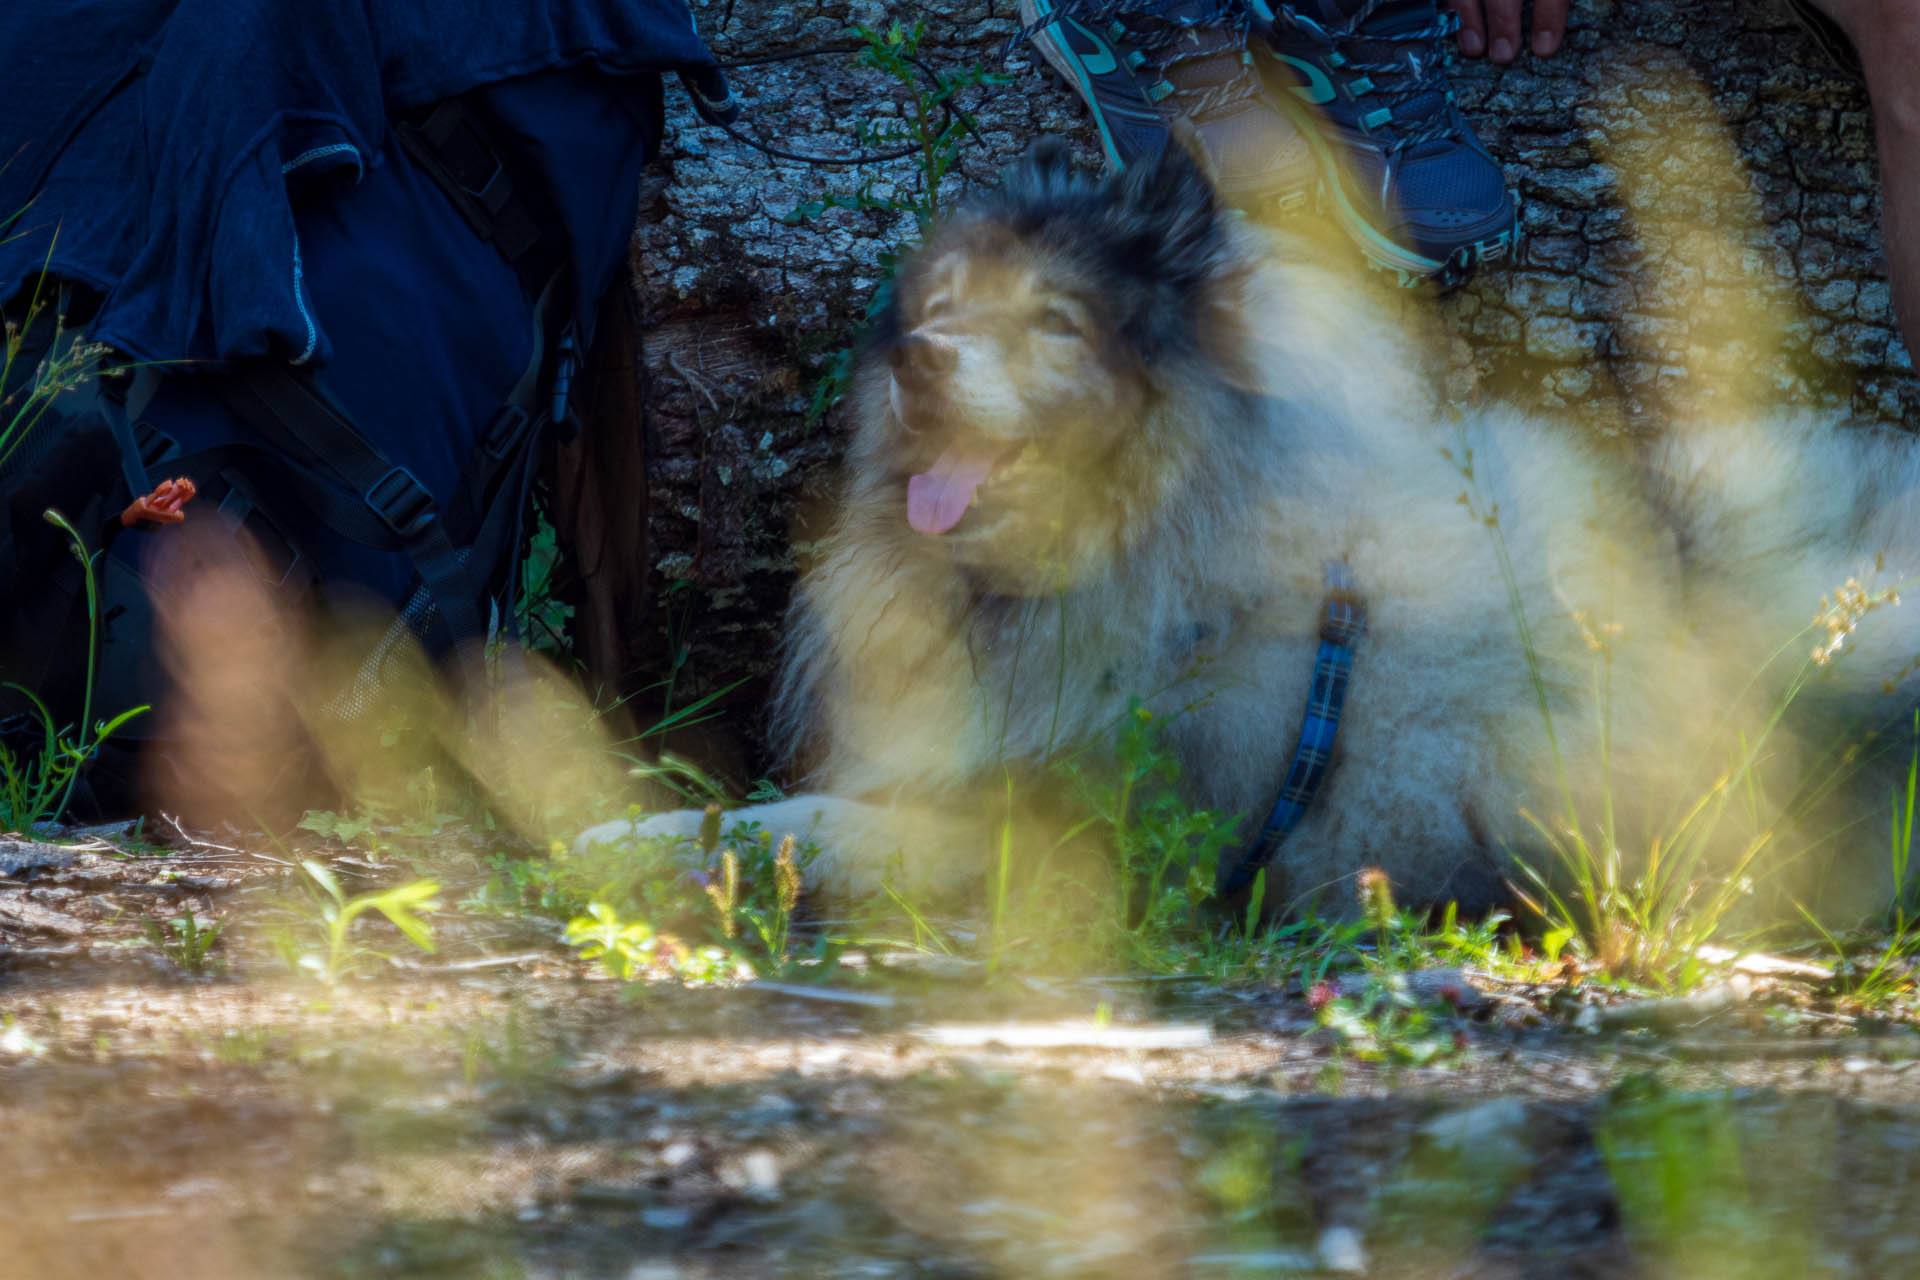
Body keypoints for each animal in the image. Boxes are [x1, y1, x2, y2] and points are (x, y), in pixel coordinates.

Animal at [579, 140, 1920, 921]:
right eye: (940, 306)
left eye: (1057, 323)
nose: (919, 356)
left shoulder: (1049, 825)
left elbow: (789, 824)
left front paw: (620, 834)